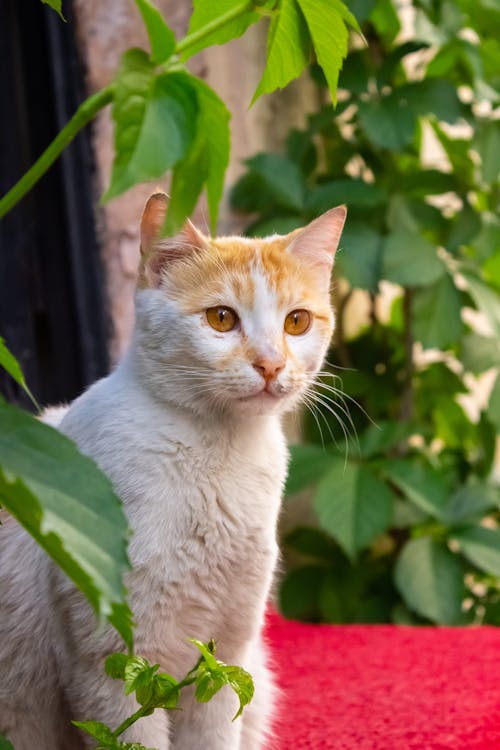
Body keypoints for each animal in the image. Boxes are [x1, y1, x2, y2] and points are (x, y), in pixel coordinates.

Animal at [0, 195, 346, 750]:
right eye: (221, 318)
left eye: (296, 322)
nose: (271, 364)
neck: (218, 457)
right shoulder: (113, 666)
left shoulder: (223, 663)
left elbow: (215, 736)